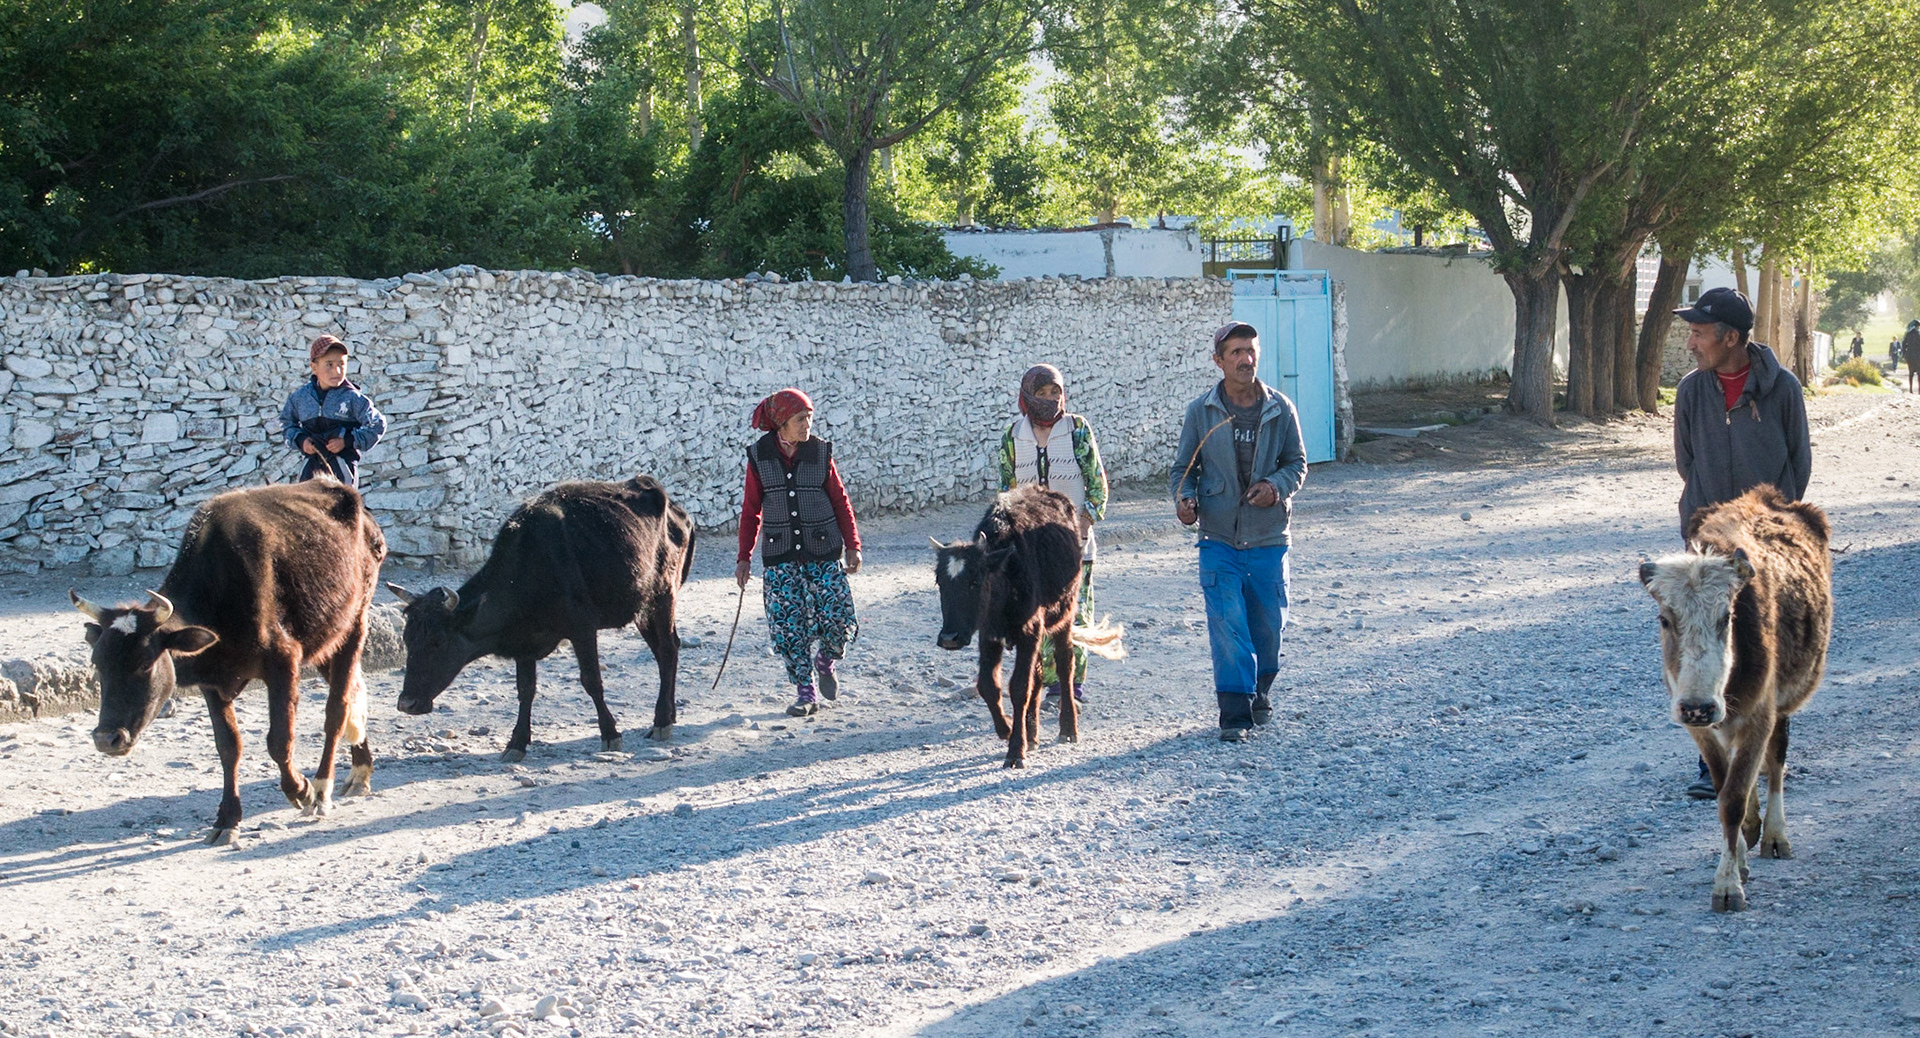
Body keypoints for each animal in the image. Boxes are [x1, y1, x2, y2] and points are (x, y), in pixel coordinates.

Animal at [70, 480, 387, 846]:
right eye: (98, 664)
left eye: (145, 663)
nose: (106, 739)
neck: (218, 593)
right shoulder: (213, 682)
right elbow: (228, 747)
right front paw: (227, 819)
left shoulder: (284, 660)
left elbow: (279, 740)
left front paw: (301, 790)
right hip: (324, 640)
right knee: (353, 697)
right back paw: (360, 771)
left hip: (354, 624)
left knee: (337, 708)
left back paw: (323, 789)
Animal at [387, 475, 694, 759]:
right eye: (407, 639)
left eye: (438, 642)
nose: (406, 704)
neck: (529, 568)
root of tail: (675, 508)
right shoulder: (525, 643)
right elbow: (525, 690)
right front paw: (516, 743)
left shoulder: (582, 628)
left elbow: (591, 680)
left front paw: (610, 734)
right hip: (642, 609)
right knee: (666, 650)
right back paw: (669, 715)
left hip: (663, 596)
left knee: (667, 649)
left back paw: (661, 721)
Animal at [932, 484, 1123, 768]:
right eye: (940, 582)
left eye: (975, 580)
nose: (949, 638)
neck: (1006, 572)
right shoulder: (989, 635)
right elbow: (988, 685)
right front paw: (1009, 729)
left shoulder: (1029, 631)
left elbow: (1020, 687)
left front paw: (1015, 750)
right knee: (1040, 673)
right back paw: (1032, 734)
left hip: (1065, 615)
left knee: (1065, 664)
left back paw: (1067, 728)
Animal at [1639, 485, 1832, 912]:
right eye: (1664, 619)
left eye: (1726, 617)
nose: (1698, 707)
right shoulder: (1701, 729)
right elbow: (1724, 786)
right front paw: (1739, 858)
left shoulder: (1760, 713)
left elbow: (1734, 796)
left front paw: (1727, 886)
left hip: (1781, 705)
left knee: (1776, 761)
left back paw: (1775, 835)